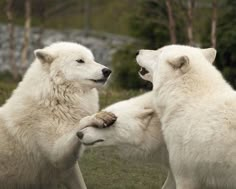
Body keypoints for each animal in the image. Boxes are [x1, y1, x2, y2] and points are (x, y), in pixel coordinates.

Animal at [0, 41, 111, 189]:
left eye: (92, 59)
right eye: (80, 60)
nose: (108, 71)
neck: (54, 100)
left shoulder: (69, 168)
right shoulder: (56, 156)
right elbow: (79, 124)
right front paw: (96, 118)